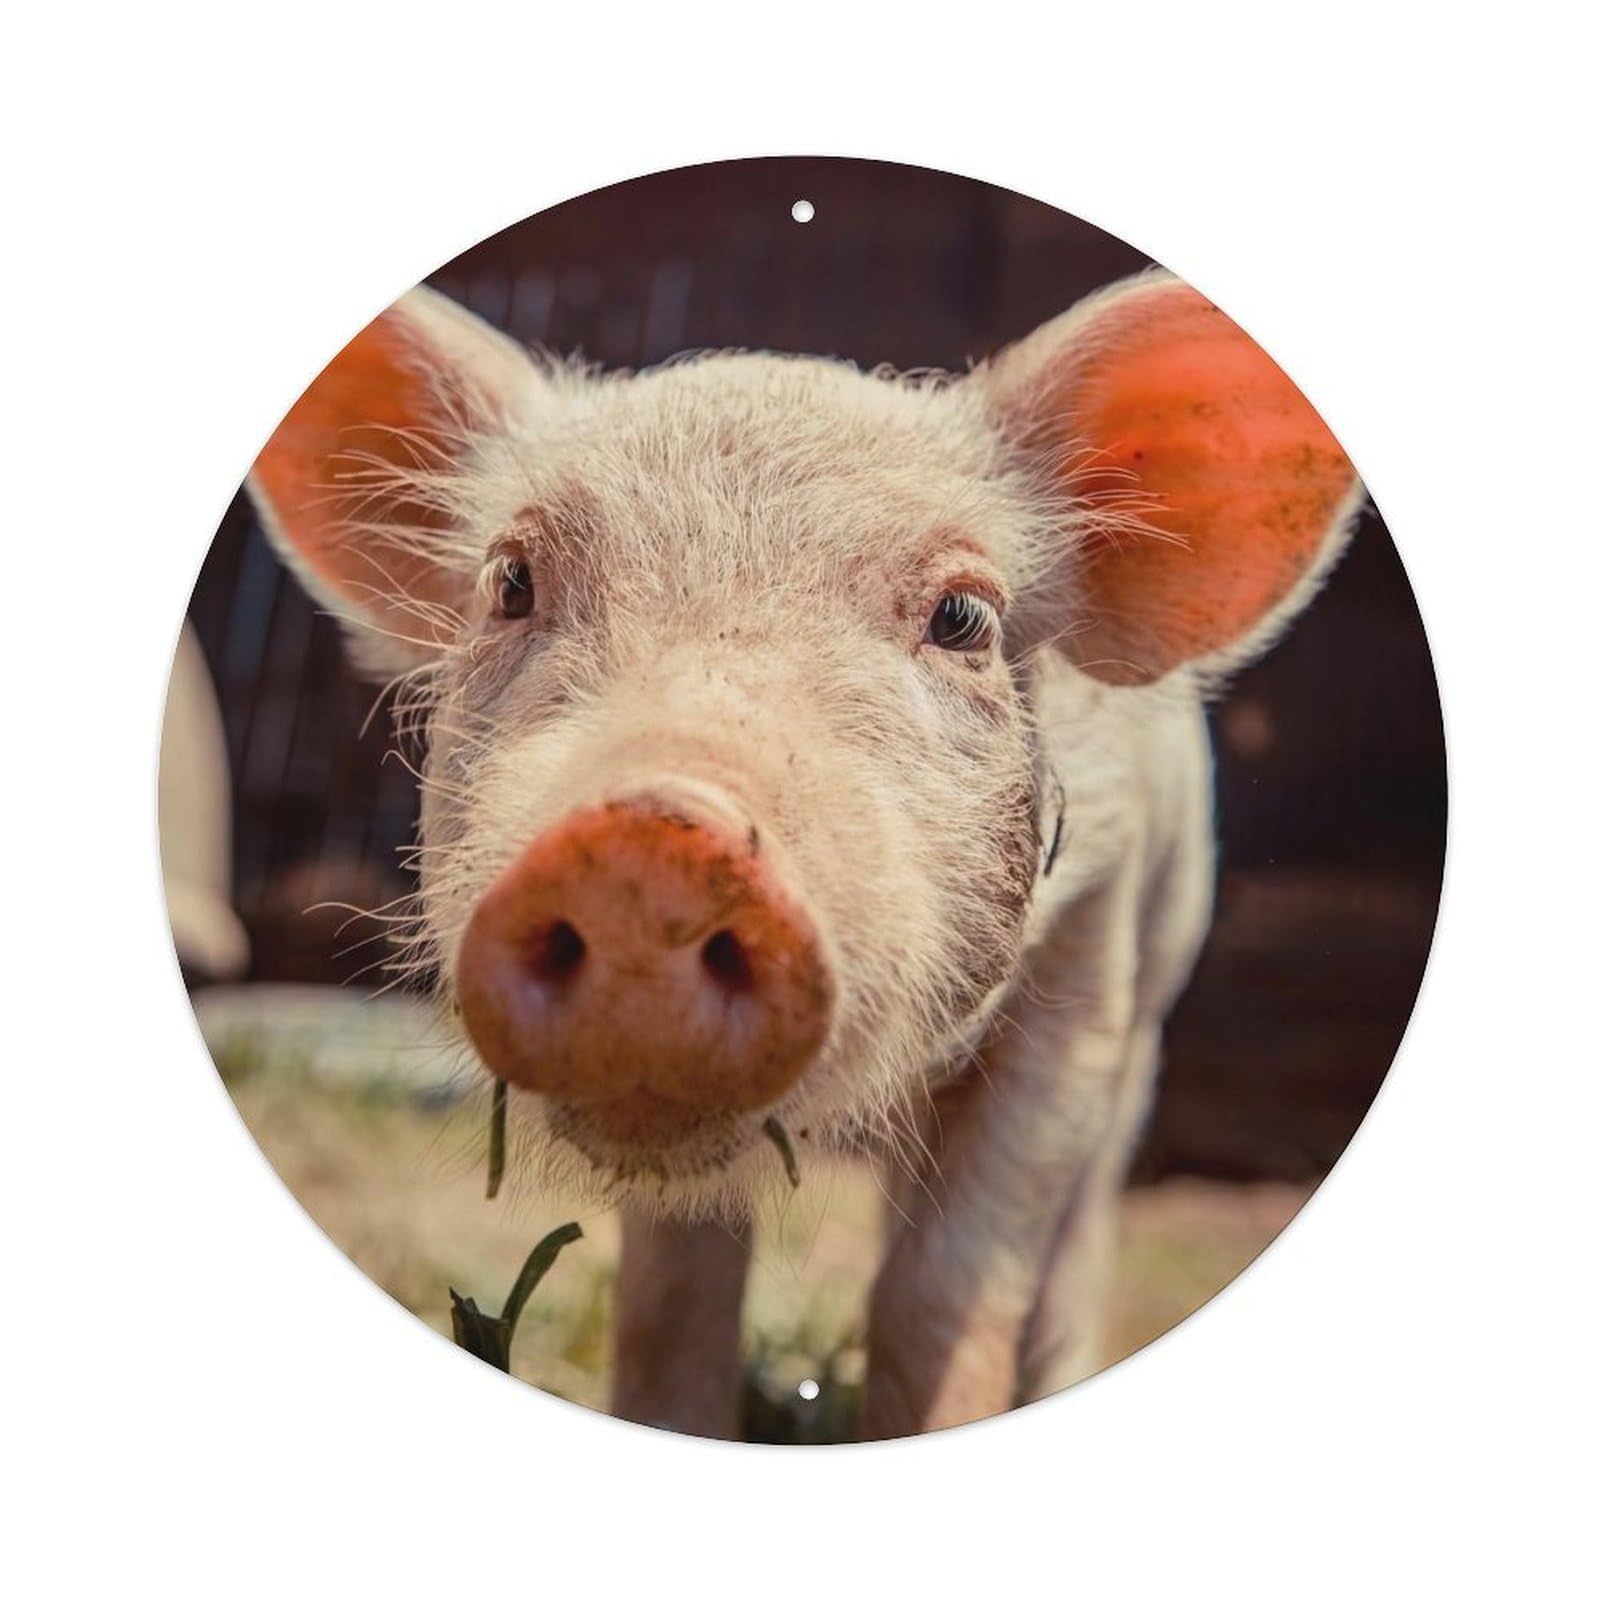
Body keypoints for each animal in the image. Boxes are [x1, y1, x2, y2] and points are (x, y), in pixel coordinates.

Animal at [246, 268, 1359, 1439]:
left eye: (961, 617)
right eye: (510, 582)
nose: (650, 838)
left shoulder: (1091, 962)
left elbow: (946, 1285)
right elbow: (672, 1293)